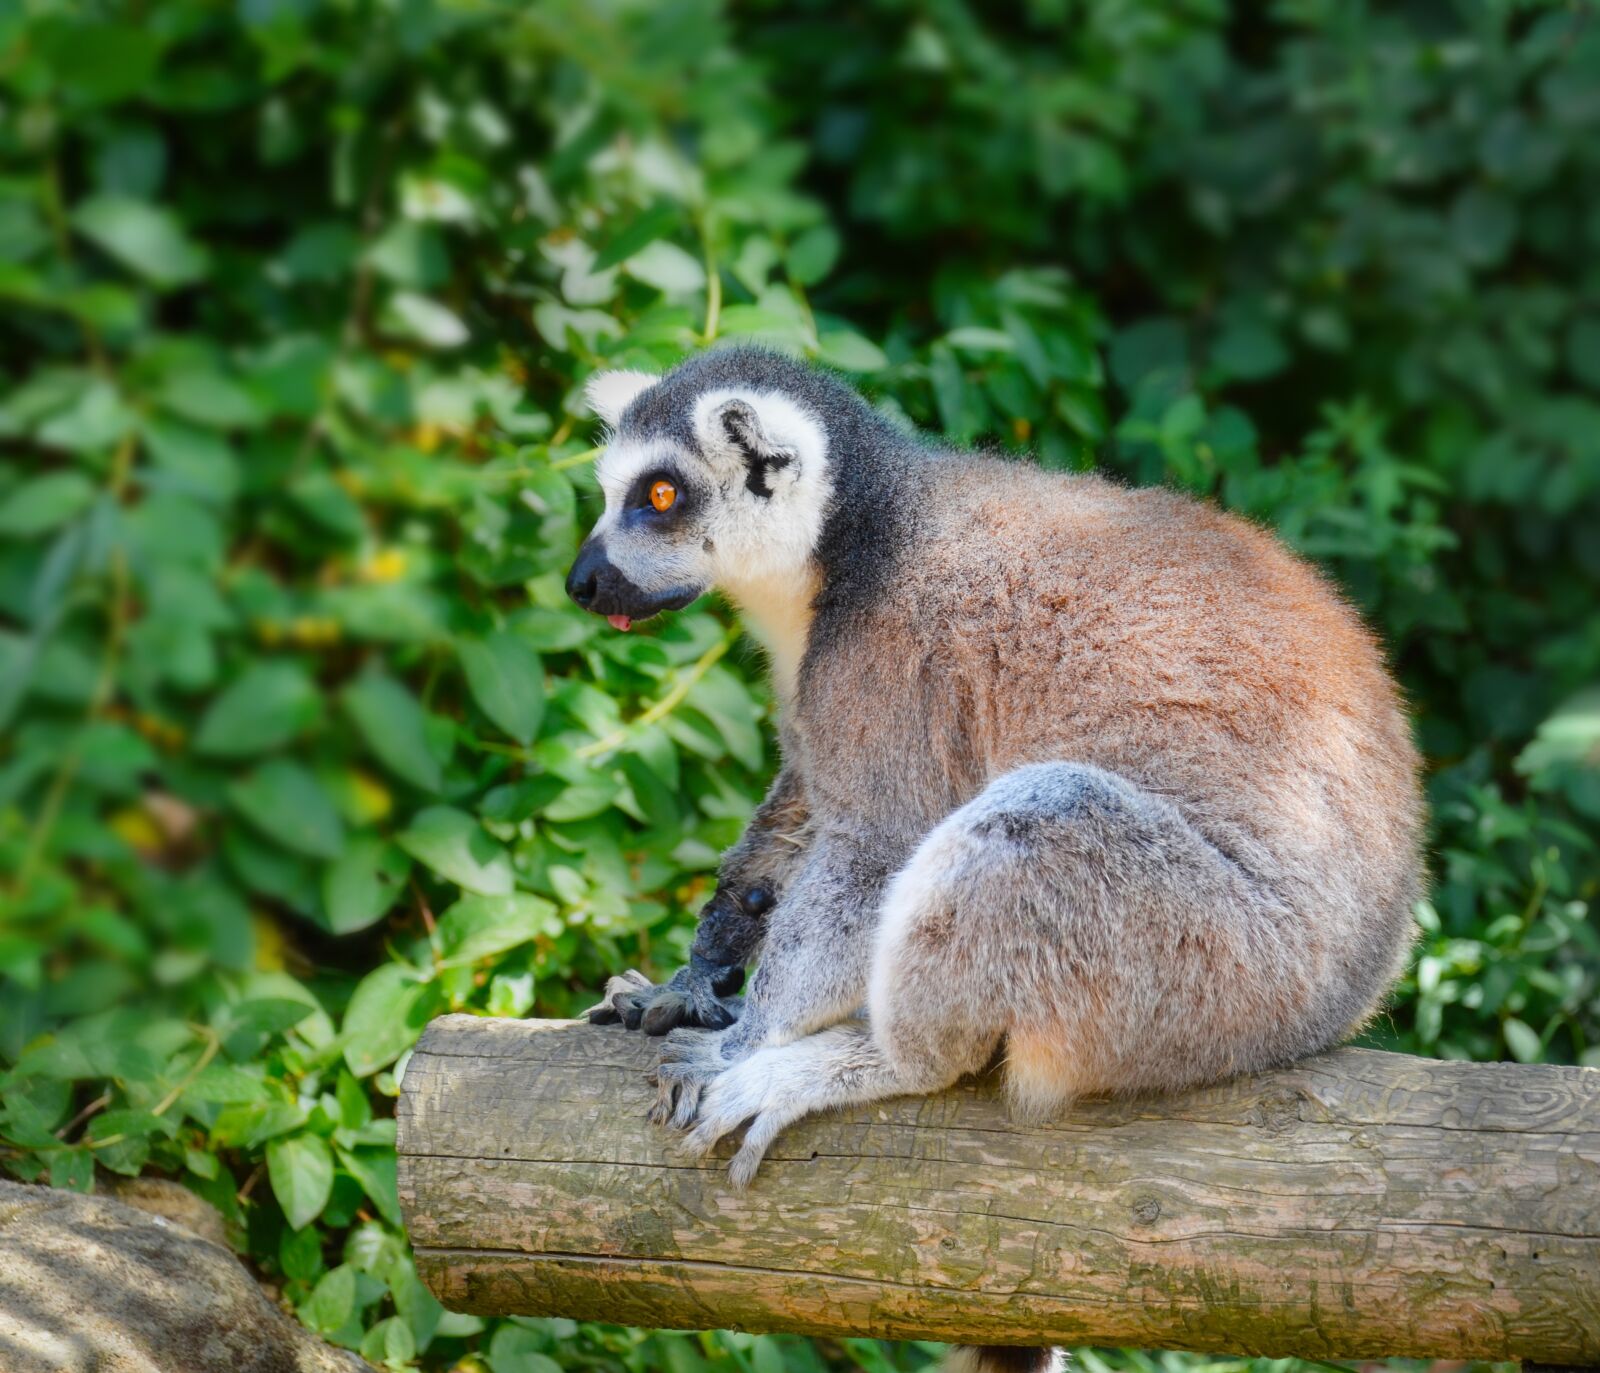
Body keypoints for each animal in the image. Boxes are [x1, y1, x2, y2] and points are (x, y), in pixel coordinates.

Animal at [567, 347, 1423, 1373]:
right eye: (610, 491)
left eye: (659, 494)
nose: (580, 581)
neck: (848, 543)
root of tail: (1353, 988)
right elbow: (803, 806)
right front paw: (693, 978)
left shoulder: (890, 666)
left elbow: (874, 849)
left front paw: (746, 1039)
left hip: (1214, 971)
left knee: (1033, 828)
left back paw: (869, 1060)